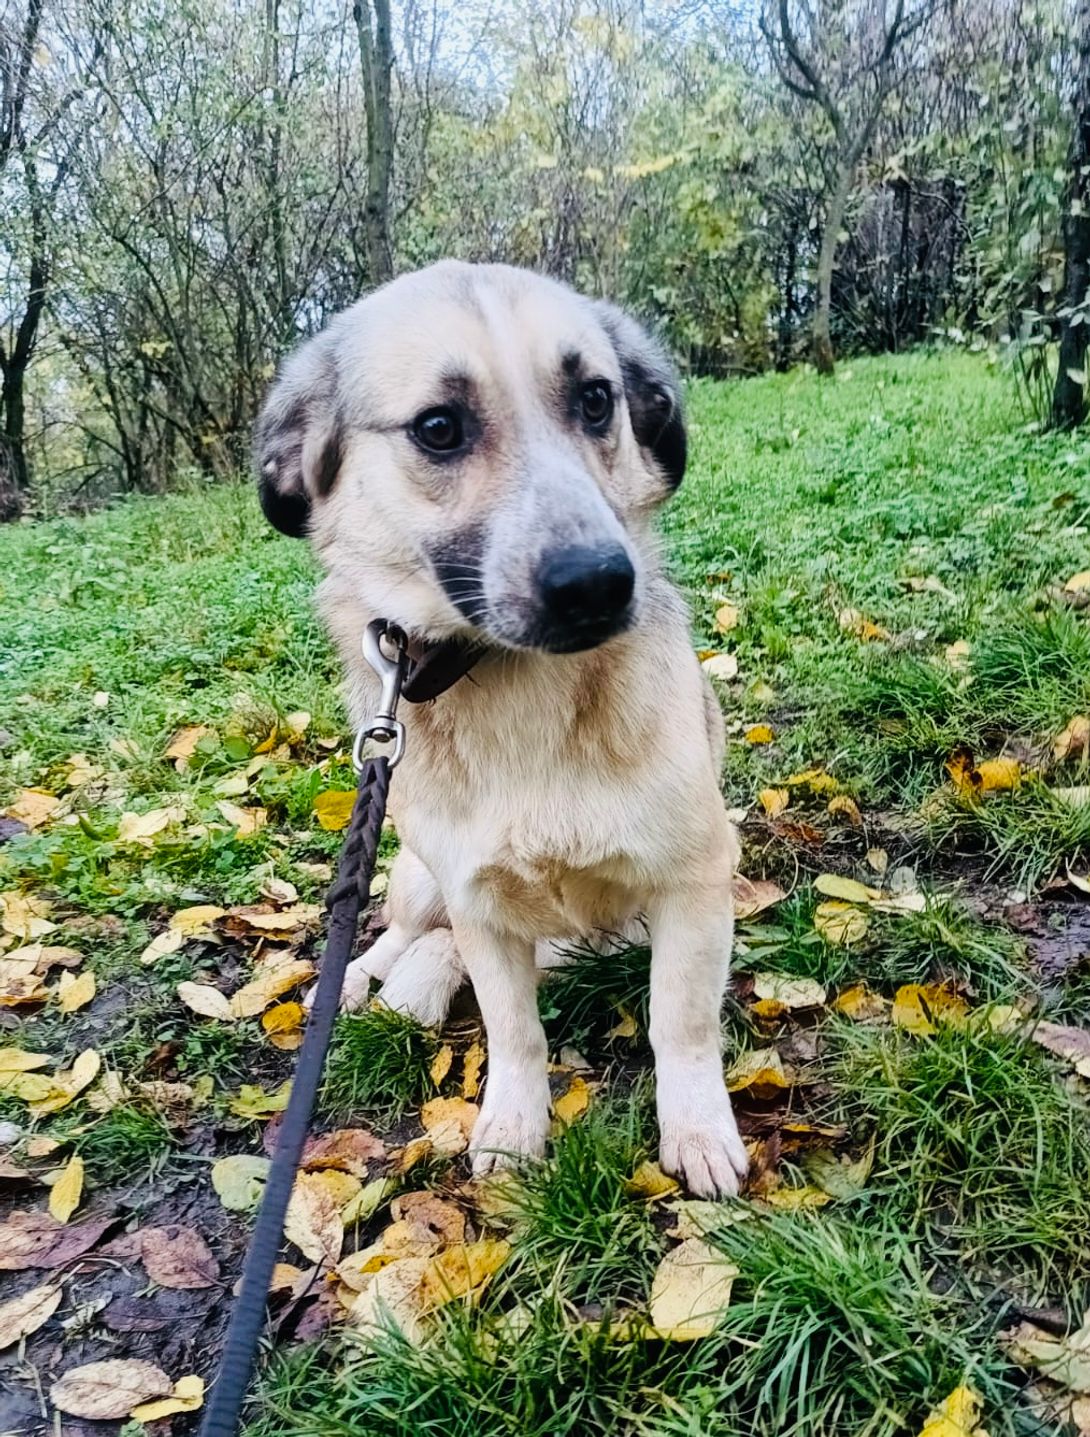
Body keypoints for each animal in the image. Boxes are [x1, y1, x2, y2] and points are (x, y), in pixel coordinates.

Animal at [255, 261, 748, 1198]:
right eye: (438, 428)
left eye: (596, 399)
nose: (598, 584)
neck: (516, 689)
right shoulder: (478, 900)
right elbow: (514, 1030)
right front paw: (514, 1129)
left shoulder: (694, 885)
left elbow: (681, 1025)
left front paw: (699, 1129)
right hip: (416, 872)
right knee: (401, 932)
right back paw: (364, 979)